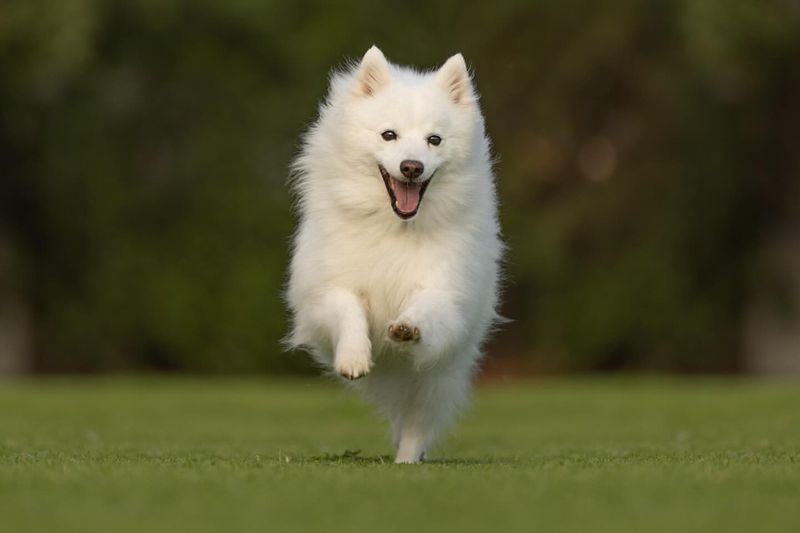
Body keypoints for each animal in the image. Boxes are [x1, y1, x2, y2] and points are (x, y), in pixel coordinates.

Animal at [284, 46, 504, 462]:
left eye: (434, 140)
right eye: (389, 135)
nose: (411, 166)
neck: (395, 228)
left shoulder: (446, 294)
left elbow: (427, 307)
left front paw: (407, 326)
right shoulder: (326, 292)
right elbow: (348, 310)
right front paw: (354, 358)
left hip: (433, 380)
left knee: (416, 423)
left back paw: (406, 461)